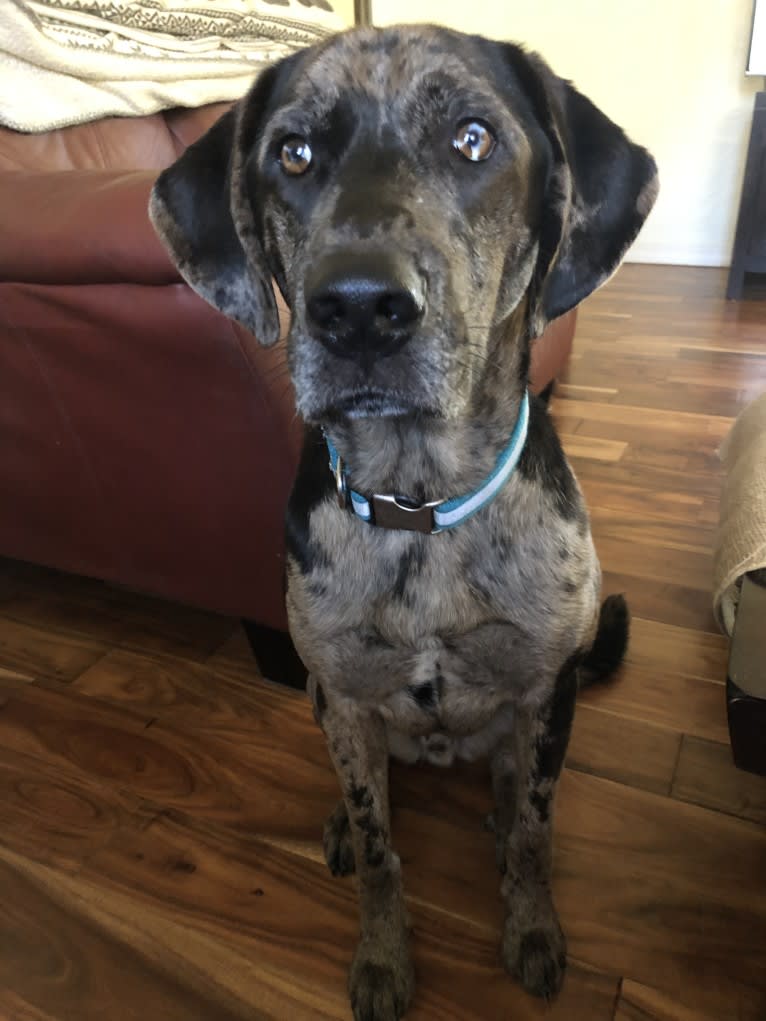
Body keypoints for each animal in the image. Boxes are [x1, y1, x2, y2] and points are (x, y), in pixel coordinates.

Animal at [151, 25, 661, 1021]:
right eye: (293, 153)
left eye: (472, 139)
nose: (358, 308)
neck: (421, 506)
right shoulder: (344, 695)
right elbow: (382, 844)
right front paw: (383, 955)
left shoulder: (549, 689)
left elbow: (537, 829)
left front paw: (531, 923)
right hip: (322, 699)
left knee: (510, 787)